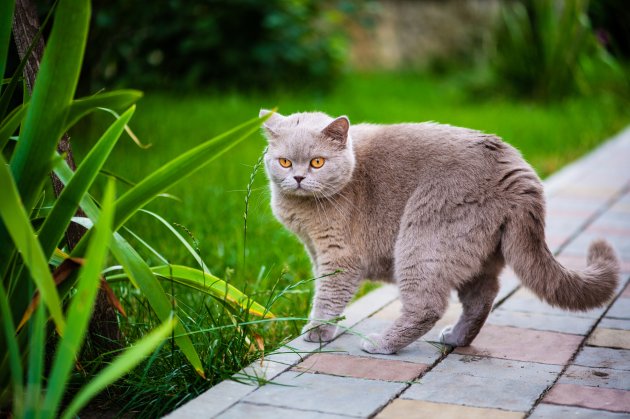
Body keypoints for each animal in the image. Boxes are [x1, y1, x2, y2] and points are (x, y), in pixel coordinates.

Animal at [260, 110, 624, 356]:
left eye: (317, 162)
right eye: (285, 162)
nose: (298, 178)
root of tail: (518, 172)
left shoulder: (338, 255)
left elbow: (328, 295)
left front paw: (316, 332)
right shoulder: (314, 250)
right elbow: (321, 289)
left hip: (422, 239)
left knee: (427, 306)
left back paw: (381, 344)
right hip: (476, 251)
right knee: (483, 297)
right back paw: (457, 338)